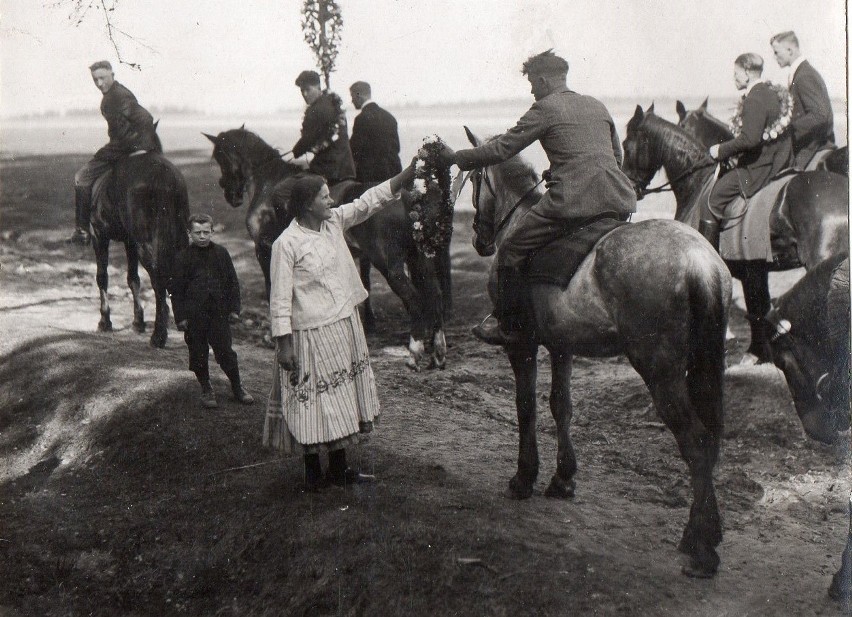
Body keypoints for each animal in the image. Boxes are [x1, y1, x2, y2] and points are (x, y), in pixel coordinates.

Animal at [90, 146, 188, 346]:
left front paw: (105, 321)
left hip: (145, 244)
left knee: (158, 280)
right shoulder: (130, 243)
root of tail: (162, 175)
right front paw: (138, 321)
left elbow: (102, 277)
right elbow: (133, 279)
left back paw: (158, 335)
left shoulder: (99, 235)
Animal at [203, 127, 450, 368]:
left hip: (391, 266)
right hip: (419, 260)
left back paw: (414, 352)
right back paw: (438, 352)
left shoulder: (264, 251)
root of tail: (409, 199)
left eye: (220, 157)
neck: (269, 182)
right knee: (436, 296)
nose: (230, 194)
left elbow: (271, 290)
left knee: (416, 302)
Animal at [452, 129, 732, 576]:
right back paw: (699, 532)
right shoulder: (561, 346)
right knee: (711, 442)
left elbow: (526, 407)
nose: (480, 240)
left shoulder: (521, 346)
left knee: (696, 442)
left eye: (475, 180)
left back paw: (702, 548)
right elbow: (560, 406)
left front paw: (524, 477)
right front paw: (562, 478)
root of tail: (697, 260)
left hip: (661, 373)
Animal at [624, 106, 848, 360]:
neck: (697, 185)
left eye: (626, 145)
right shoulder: (755, 269)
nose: (631, 189)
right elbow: (758, 309)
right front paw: (760, 352)